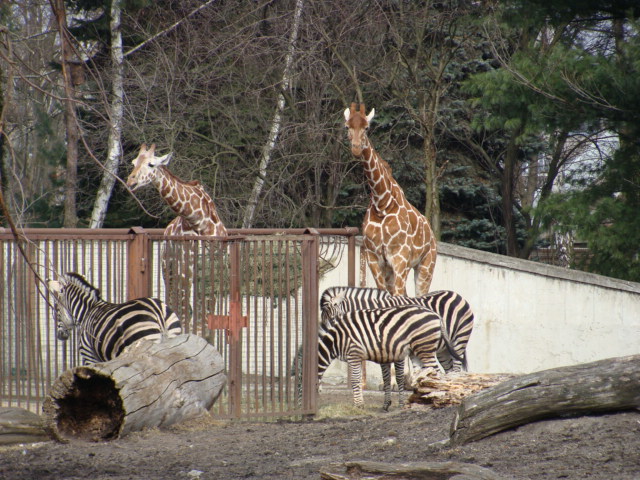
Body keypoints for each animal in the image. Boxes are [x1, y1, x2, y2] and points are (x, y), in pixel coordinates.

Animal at [126, 143, 227, 326]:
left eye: (151, 164)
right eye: (134, 162)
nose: (131, 181)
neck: (199, 221)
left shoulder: (215, 270)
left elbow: (208, 311)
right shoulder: (186, 269)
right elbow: (190, 310)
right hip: (168, 269)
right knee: (176, 302)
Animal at [344, 103, 437, 297]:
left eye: (367, 127)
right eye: (347, 127)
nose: (356, 149)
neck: (383, 203)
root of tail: (432, 235)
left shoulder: (400, 258)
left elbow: (399, 297)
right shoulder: (374, 258)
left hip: (425, 266)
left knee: (419, 295)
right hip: (393, 270)